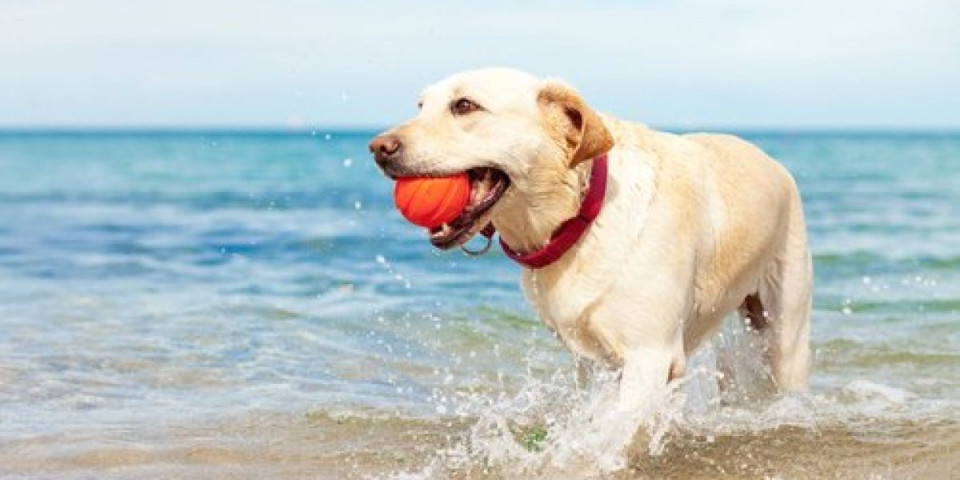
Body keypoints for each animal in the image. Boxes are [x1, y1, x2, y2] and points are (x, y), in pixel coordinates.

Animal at [368, 67, 808, 412]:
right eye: (421, 106)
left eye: (464, 106)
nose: (378, 148)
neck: (579, 216)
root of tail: (772, 160)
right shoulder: (593, 362)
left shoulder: (650, 355)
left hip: (784, 335)